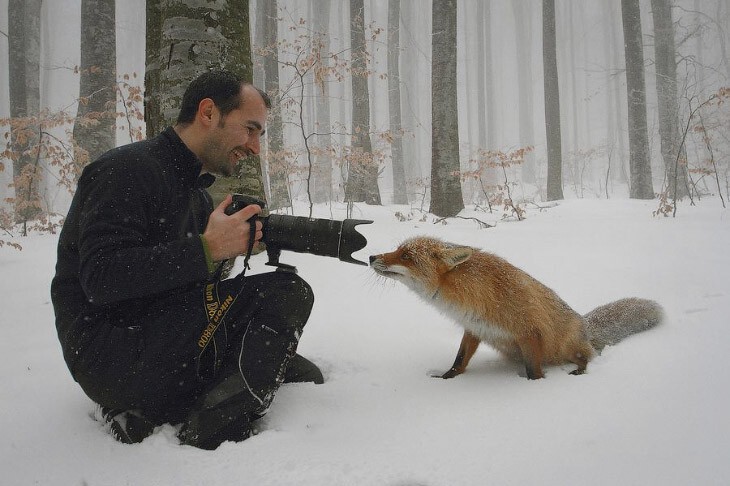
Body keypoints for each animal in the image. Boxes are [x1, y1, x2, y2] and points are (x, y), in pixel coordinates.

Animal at [370, 235, 660, 380]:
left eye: (406, 256)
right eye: (397, 250)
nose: (372, 256)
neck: (474, 294)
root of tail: (585, 324)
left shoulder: (529, 332)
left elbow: (534, 372)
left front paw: (533, 388)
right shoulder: (474, 328)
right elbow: (459, 360)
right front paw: (447, 379)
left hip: (567, 347)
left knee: (588, 357)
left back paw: (579, 370)